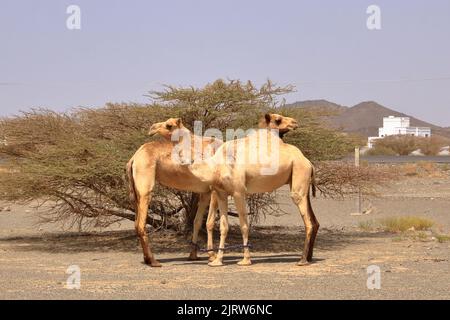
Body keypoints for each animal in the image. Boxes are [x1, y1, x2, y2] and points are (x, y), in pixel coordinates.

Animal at [125, 116, 221, 266]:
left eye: (169, 125)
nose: (151, 129)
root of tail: (133, 159)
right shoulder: (215, 190)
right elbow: (210, 222)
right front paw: (212, 255)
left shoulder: (205, 192)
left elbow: (197, 221)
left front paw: (193, 255)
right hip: (145, 189)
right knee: (140, 224)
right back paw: (153, 261)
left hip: (135, 194)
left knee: (136, 224)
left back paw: (147, 258)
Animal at [182, 114, 316, 266]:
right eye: (278, 120)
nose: (294, 122)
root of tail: (308, 162)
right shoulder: (221, 193)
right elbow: (222, 225)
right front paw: (217, 260)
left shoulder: (238, 192)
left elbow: (243, 225)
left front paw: (245, 260)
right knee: (313, 220)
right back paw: (308, 257)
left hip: (299, 175)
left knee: (307, 220)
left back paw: (302, 260)